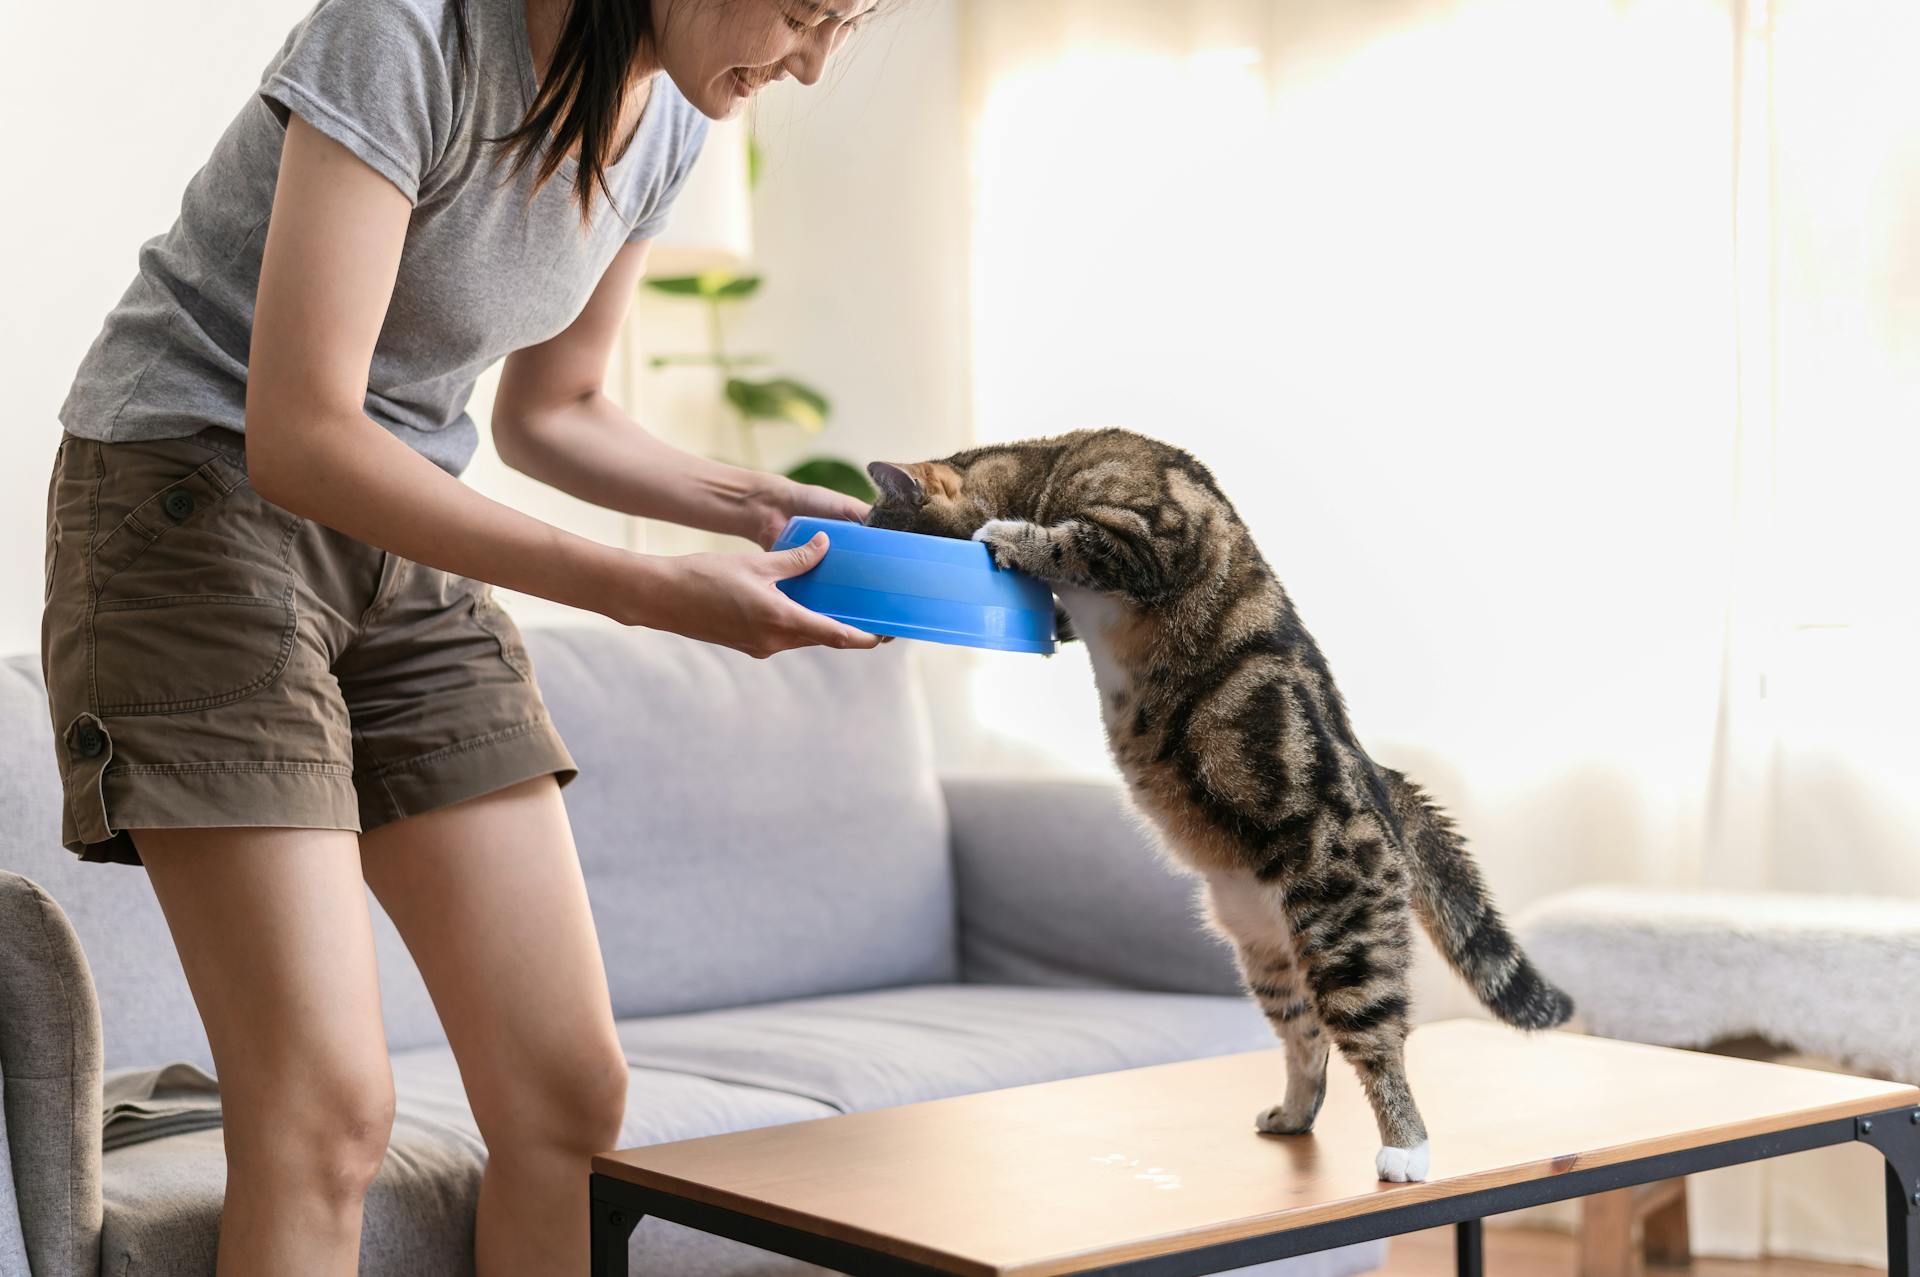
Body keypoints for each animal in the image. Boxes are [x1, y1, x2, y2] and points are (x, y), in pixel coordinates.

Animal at [871, 430, 1574, 1182]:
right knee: (1309, 1044)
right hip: (1266, 958)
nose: (882, 635)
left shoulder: (1153, 537)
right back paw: (1293, 1114)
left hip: (1346, 942)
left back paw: (1406, 1149)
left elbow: (1072, 543)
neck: (1048, 465)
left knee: (1377, 1045)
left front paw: (1010, 538)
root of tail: (1380, 780)